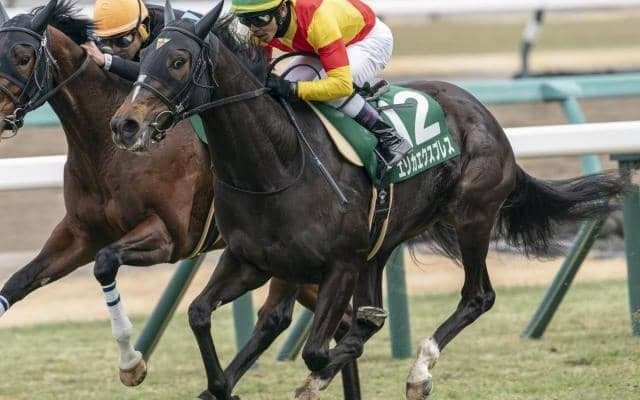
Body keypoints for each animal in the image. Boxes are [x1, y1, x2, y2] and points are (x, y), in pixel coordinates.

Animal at [0, 1, 361, 397]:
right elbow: (17, 282)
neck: (105, 148)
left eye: (22, 57)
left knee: (286, 318)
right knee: (339, 323)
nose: (125, 128)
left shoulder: (169, 236)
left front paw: (132, 364)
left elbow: (105, 262)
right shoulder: (80, 234)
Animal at [111, 1, 628, 399]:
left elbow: (318, 351)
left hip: (473, 216)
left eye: (178, 60)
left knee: (477, 296)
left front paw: (317, 377)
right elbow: (199, 314)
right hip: (383, 242)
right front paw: (216, 383)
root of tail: (486, 116)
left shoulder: (339, 264)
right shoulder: (250, 260)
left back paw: (419, 371)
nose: (125, 125)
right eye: (144, 57)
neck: (279, 163)